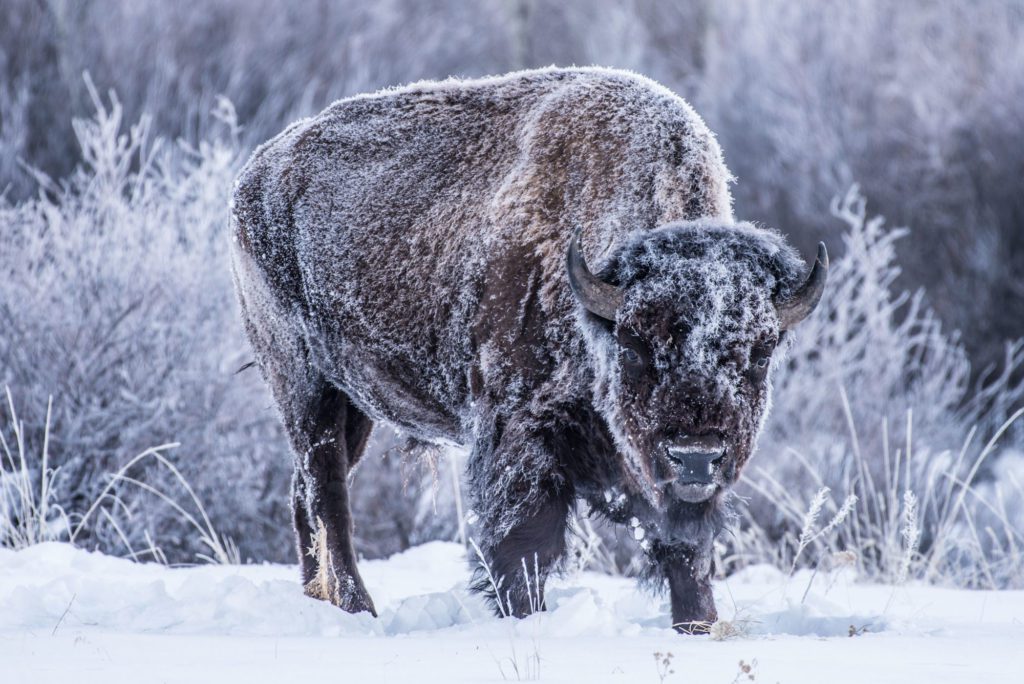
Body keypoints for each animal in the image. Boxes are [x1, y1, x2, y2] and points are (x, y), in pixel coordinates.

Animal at [230, 67, 826, 632]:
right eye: (632, 345)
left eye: (760, 353)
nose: (696, 455)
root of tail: (254, 174)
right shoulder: (521, 437)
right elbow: (525, 546)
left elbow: (687, 552)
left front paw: (697, 626)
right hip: (304, 386)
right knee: (328, 494)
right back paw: (359, 609)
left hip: (354, 405)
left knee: (304, 495)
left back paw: (321, 602)